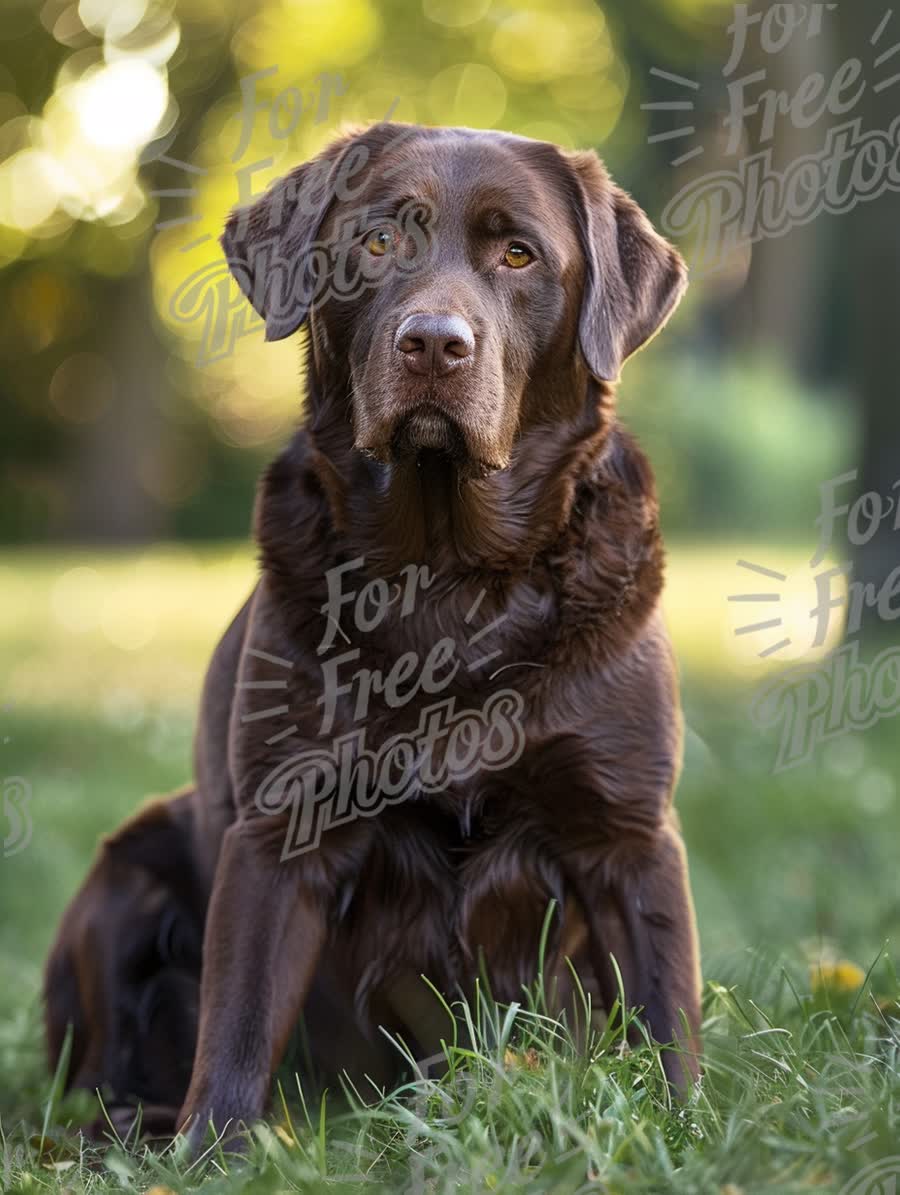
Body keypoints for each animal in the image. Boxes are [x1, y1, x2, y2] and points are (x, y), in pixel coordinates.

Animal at [42, 123, 702, 1147]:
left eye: (520, 255)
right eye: (380, 242)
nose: (434, 342)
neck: (450, 579)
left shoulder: (628, 831)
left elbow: (667, 1016)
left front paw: (682, 1135)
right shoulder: (282, 826)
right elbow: (237, 1024)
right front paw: (209, 1151)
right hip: (129, 869)